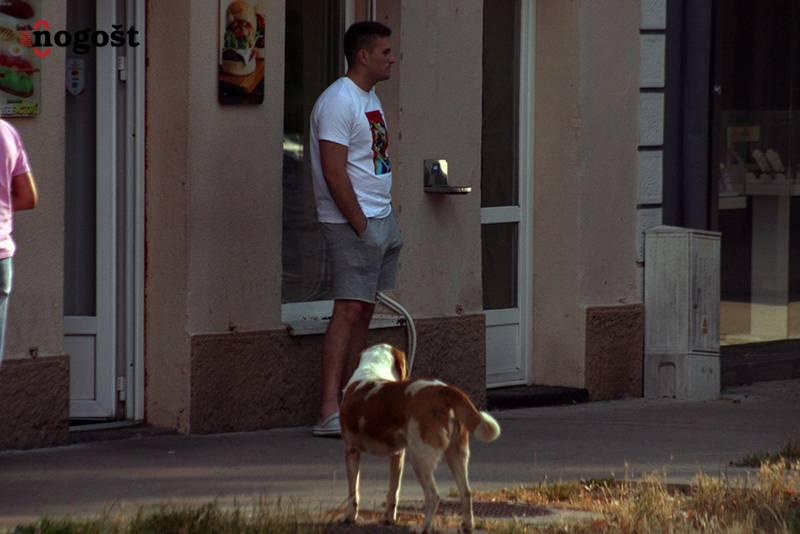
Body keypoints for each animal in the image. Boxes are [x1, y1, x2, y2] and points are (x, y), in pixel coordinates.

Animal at [340, 343, 501, 533]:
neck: (372, 369)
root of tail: (443, 389)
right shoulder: (397, 456)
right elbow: (393, 491)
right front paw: (389, 520)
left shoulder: (351, 451)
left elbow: (353, 491)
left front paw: (349, 517)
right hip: (456, 455)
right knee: (466, 492)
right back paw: (467, 526)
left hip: (420, 458)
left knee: (433, 496)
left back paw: (424, 528)